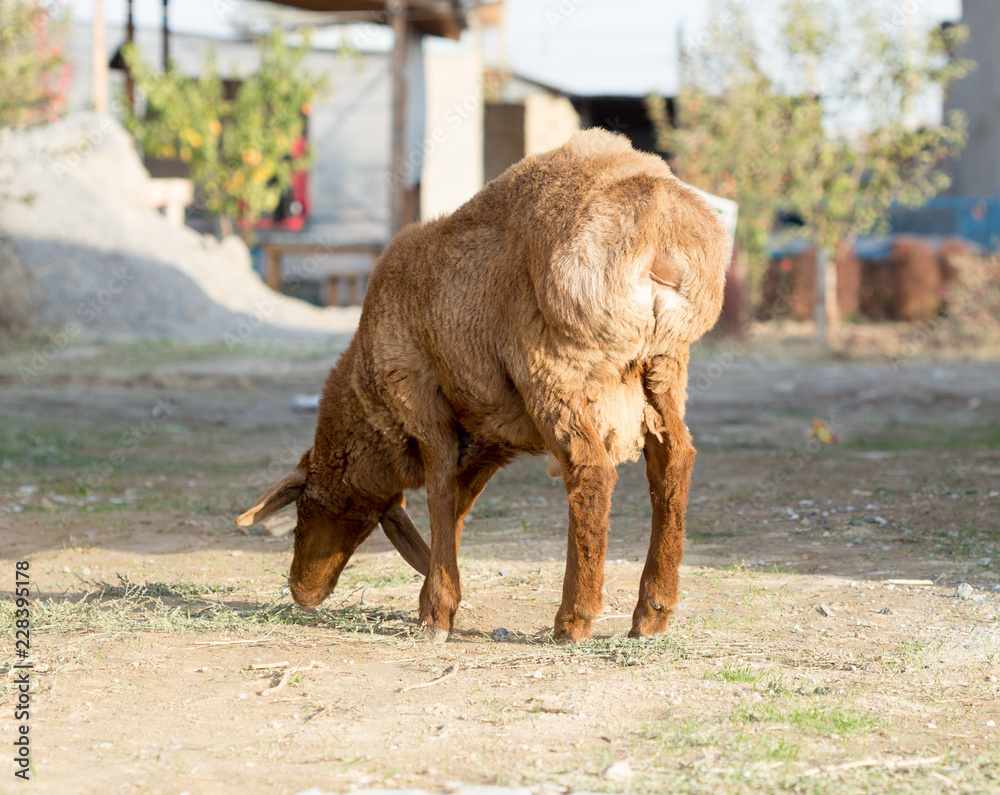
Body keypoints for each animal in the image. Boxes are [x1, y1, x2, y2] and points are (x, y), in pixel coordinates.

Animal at [236, 129, 729, 642]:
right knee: (674, 460)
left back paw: (573, 619)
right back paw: (652, 612)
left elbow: (439, 494)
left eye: (306, 508)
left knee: (590, 471)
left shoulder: (420, 401)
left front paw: (435, 613)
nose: (302, 591)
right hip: (664, 365)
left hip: (554, 367)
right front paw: (442, 591)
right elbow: (457, 507)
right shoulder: (489, 435)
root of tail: (659, 228)